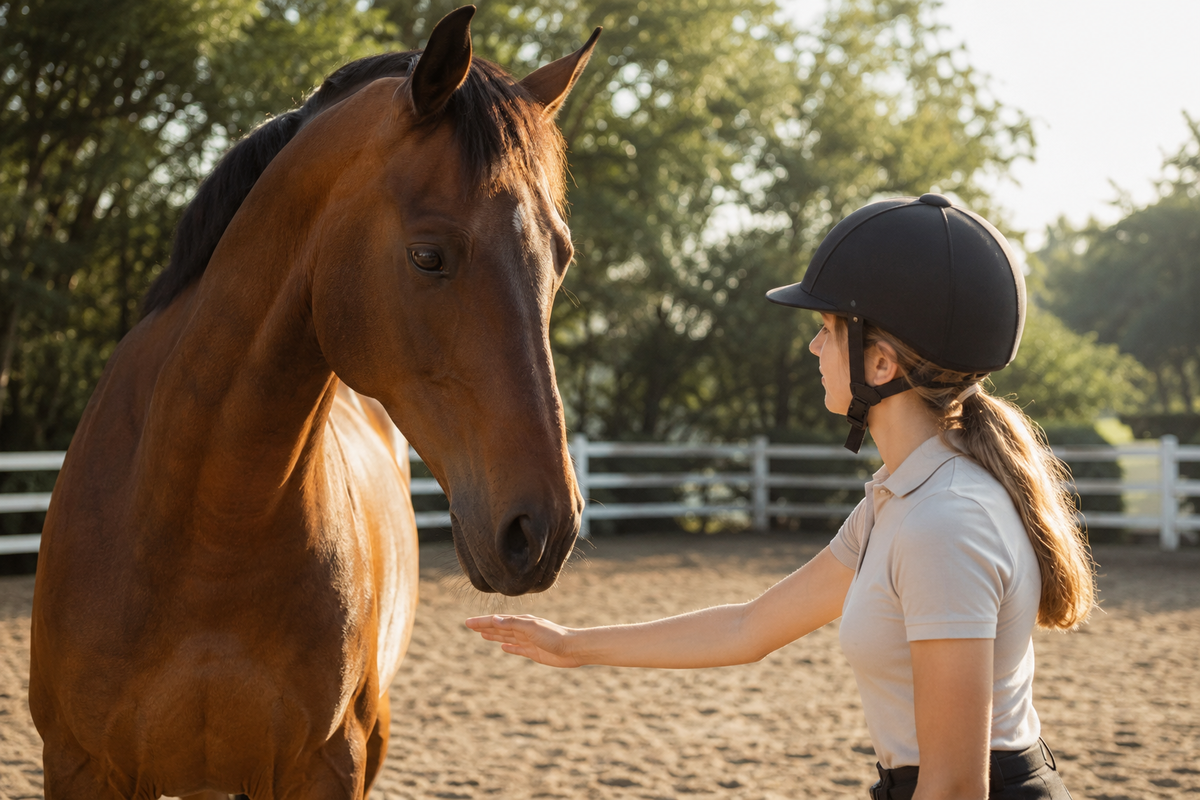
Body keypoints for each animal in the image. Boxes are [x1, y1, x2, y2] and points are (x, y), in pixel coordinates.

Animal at [28, 7, 599, 798]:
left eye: (560, 255)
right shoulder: (80, 765)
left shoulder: (333, 763)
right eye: (428, 256)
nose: (543, 531)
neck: (205, 531)